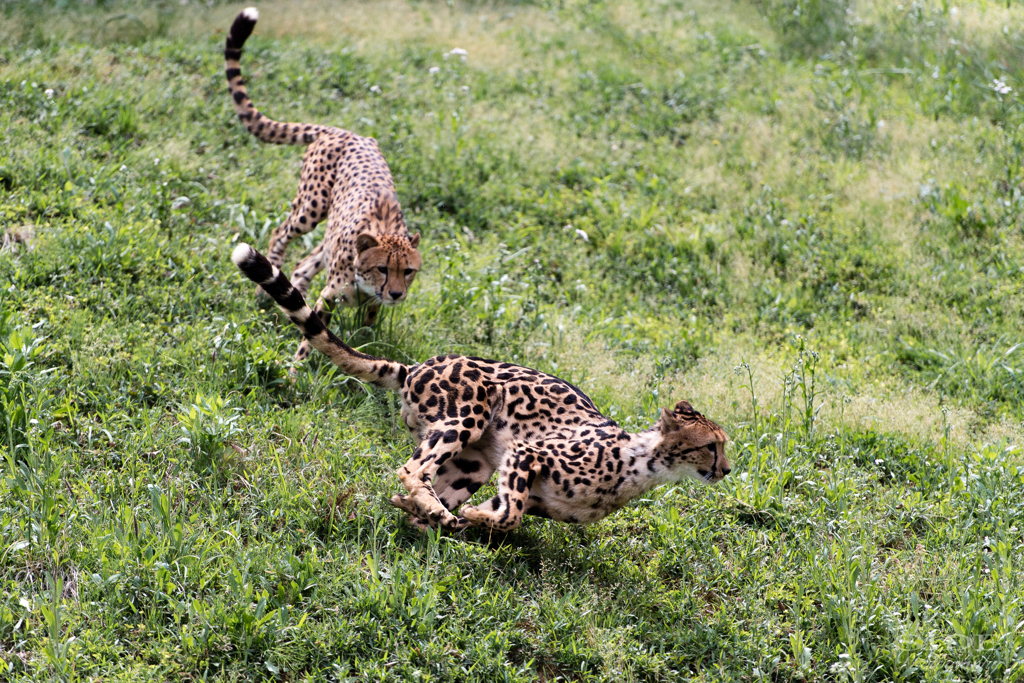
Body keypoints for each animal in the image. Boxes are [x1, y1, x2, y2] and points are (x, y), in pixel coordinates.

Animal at [224, 9, 419, 362]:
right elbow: (312, 335)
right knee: (281, 233)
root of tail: (346, 131)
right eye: (383, 268)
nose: (397, 294)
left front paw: (365, 344)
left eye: (408, 270)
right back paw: (264, 288)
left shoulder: (372, 303)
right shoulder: (329, 295)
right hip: (311, 207)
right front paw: (298, 369)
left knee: (306, 260)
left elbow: (368, 324)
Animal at [234, 242, 729, 532]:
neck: (642, 463)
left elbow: (506, 514)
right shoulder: (528, 452)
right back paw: (435, 510)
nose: (725, 470)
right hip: (465, 417)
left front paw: (449, 517)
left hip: (473, 465)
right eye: (710, 446)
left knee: (426, 485)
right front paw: (468, 517)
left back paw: (428, 514)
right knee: (412, 469)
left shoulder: (520, 481)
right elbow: (508, 515)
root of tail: (417, 365)